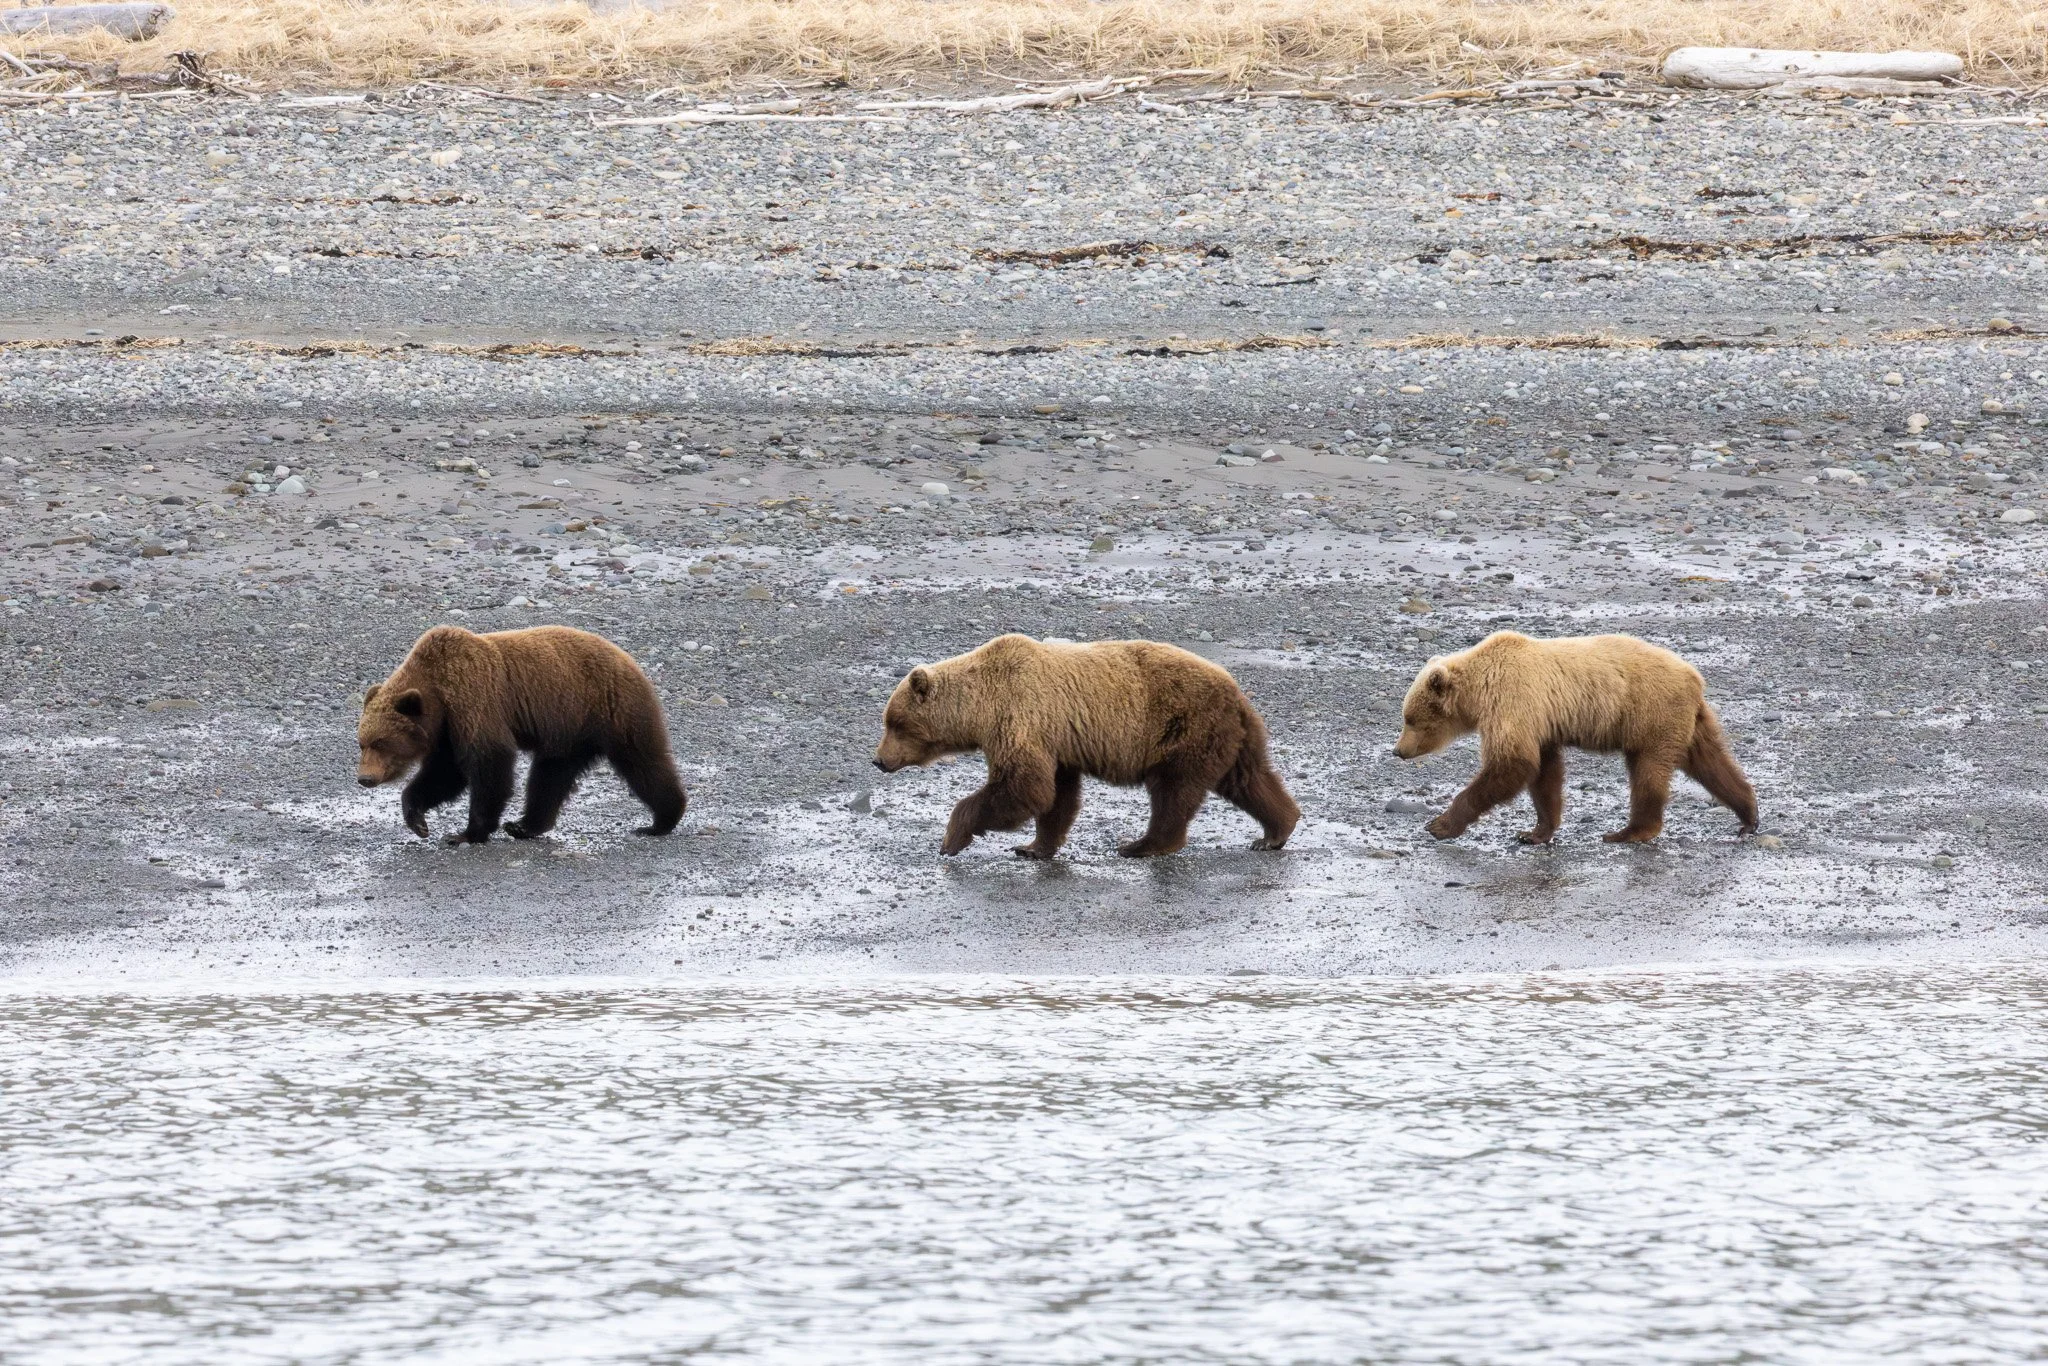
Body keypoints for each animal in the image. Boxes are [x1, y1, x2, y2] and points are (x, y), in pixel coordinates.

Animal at [356, 624, 686, 844]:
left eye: (381, 742)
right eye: (361, 743)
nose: (365, 778)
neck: (438, 693)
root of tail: (629, 659)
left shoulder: (474, 702)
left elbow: (489, 765)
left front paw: (466, 833)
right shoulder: (448, 731)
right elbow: (445, 774)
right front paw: (417, 820)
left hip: (612, 709)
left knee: (642, 762)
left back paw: (662, 820)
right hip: (569, 732)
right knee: (550, 776)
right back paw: (525, 825)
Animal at [871, 634, 1300, 859]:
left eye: (895, 722)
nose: (878, 760)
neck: (981, 707)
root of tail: (1235, 690)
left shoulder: (1021, 718)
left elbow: (1022, 786)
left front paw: (952, 838)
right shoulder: (1057, 739)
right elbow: (1056, 796)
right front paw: (1034, 846)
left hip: (1183, 727)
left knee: (1172, 791)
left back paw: (1141, 844)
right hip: (1232, 733)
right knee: (1248, 779)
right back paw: (1275, 831)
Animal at [1393, 630, 1757, 844]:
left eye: (1410, 718)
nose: (1398, 751)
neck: (1480, 690)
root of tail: (1695, 677)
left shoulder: (1513, 702)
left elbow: (1512, 764)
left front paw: (1440, 824)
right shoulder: (1540, 721)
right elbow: (1544, 774)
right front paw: (1535, 832)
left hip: (1652, 714)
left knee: (1648, 773)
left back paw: (1629, 832)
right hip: (1687, 720)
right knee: (1711, 763)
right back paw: (1748, 813)